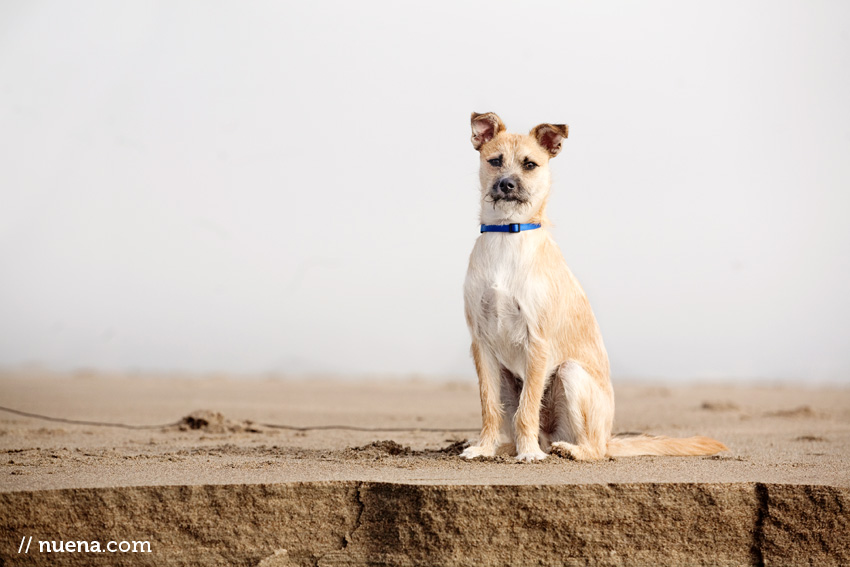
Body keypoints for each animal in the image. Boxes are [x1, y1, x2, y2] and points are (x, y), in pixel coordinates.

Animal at [460, 113, 724, 464]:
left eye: (529, 165)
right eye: (495, 161)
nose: (506, 184)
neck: (507, 235)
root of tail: (609, 438)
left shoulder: (538, 340)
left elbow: (527, 409)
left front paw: (528, 453)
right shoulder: (482, 344)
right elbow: (490, 406)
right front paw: (485, 447)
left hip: (570, 373)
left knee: (593, 449)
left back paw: (563, 449)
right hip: (507, 376)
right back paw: (509, 446)